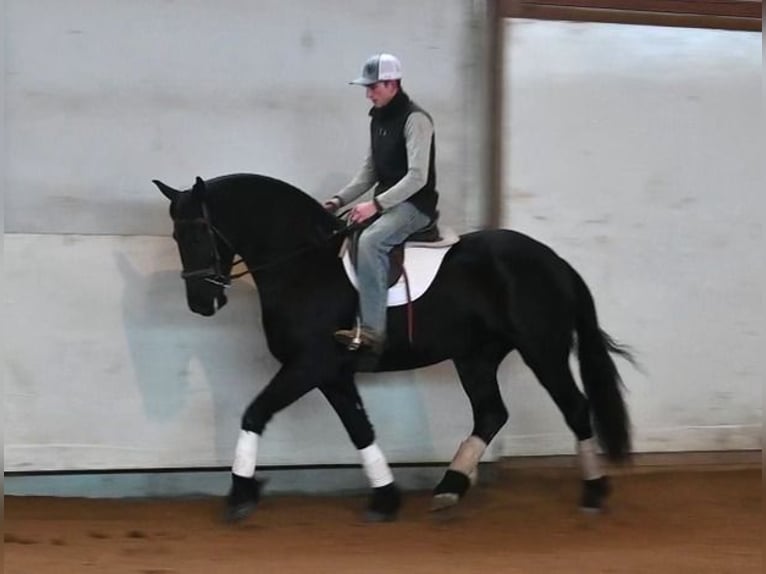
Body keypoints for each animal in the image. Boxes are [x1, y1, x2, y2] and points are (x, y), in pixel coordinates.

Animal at [156, 173, 636, 524]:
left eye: (198, 234)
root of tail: (554, 261)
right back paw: (449, 489)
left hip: (542, 350)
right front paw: (385, 498)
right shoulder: (331, 372)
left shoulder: (309, 365)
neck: (303, 264)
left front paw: (240, 494)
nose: (201, 303)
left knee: (575, 408)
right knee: (491, 413)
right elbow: (359, 429)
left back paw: (594, 491)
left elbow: (255, 413)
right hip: (475, 357)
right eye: (176, 237)